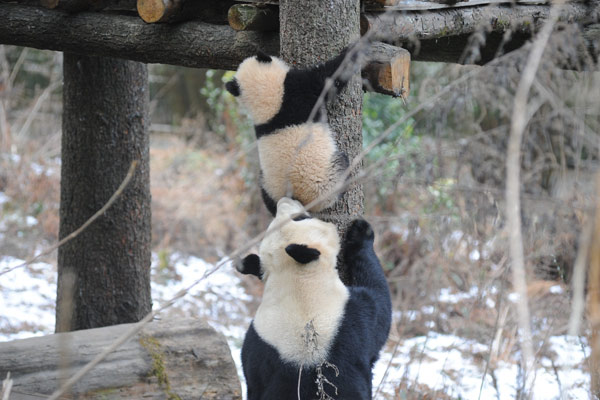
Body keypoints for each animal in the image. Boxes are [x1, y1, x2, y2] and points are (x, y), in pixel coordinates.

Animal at [225, 51, 356, 217]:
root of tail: (297, 198)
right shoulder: (299, 88)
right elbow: (330, 77)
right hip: (327, 178)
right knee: (341, 166)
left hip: (268, 185)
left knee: (266, 195)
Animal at [237, 198, 392, 398]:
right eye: (301, 218)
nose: (284, 201)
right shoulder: (351, 319)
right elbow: (380, 304)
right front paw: (361, 232)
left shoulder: (256, 346)